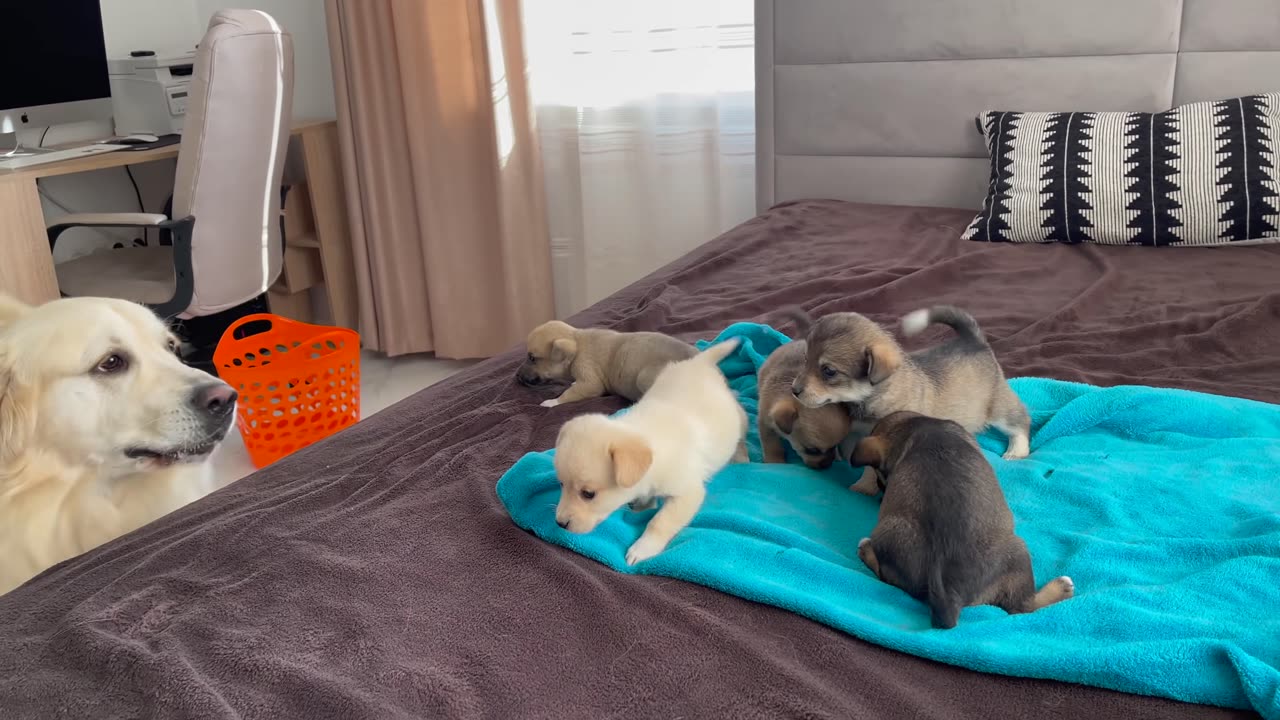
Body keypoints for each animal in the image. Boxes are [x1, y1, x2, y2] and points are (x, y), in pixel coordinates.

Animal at [514, 317, 696, 404]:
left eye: (532, 358)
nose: (516, 377)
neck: (576, 342)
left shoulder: (589, 379)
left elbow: (569, 394)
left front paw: (551, 402)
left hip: (644, 377)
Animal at [788, 304, 1029, 456]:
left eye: (829, 371)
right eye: (806, 359)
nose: (794, 390)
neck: (868, 398)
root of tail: (973, 341)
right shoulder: (853, 433)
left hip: (999, 408)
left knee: (1020, 421)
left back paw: (1016, 451)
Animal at [855, 409, 1075, 627]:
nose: (881, 496)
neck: (913, 428)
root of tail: (949, 597)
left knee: (885, 575)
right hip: (1019, 553)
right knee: (1023, 607)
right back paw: (1061, 587)